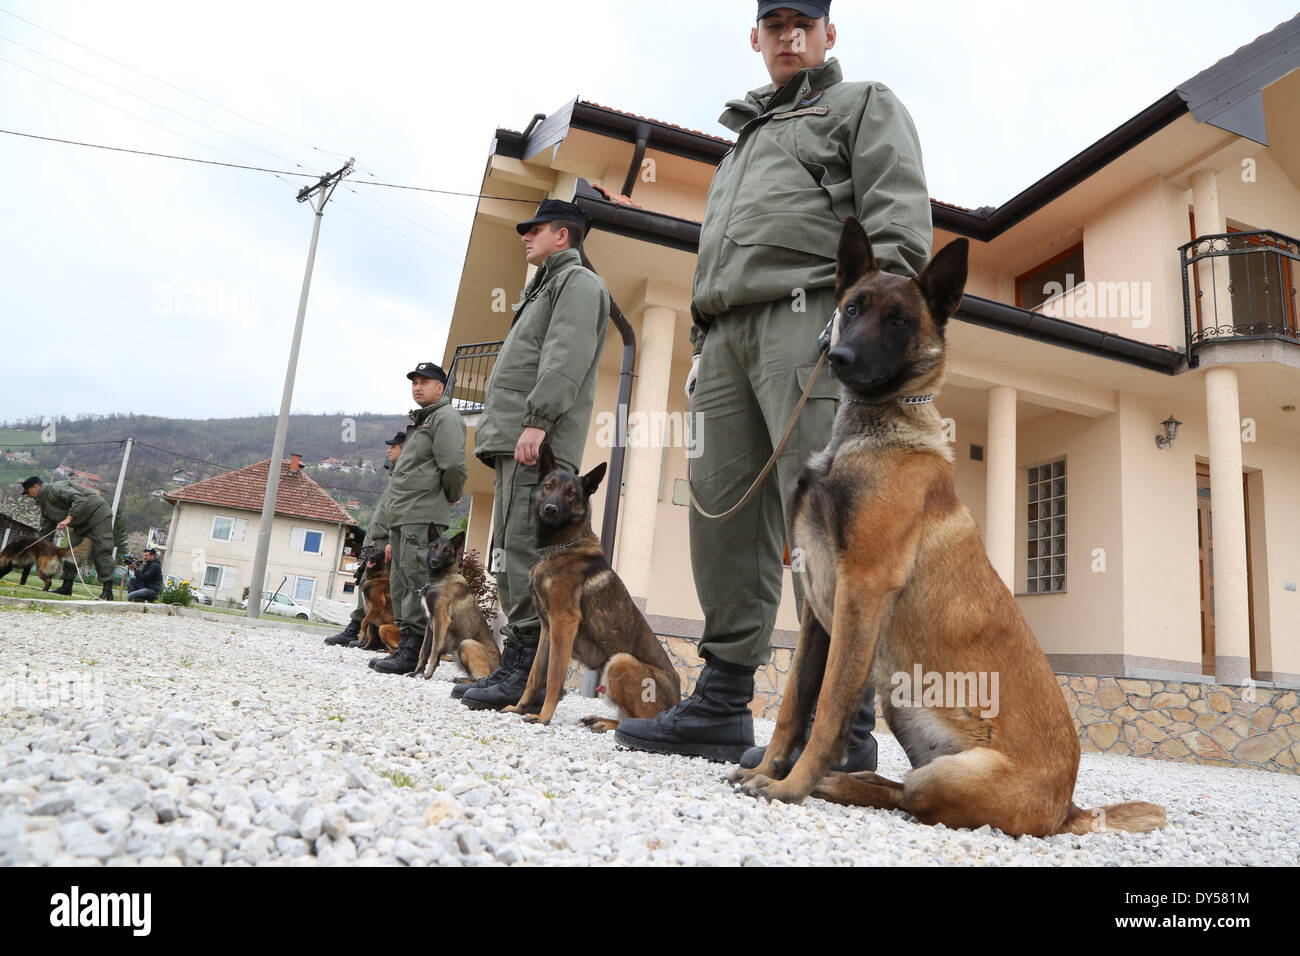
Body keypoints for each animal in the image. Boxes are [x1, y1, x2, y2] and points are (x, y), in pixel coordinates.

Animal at [410, 530, 501, 681]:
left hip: (466, 644)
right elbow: (423, 650)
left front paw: (428, 674)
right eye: (434, 546)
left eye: (447, 550)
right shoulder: (430, 624)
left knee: (481, 678)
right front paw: (416, 672)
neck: (440, 578)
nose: (434, 562)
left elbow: (434, 651)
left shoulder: (441, 621)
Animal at [501, 447, 681, 733]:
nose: (550, 509)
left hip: (620, 661)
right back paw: (600, 719)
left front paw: (544, 717)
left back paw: (610, 725)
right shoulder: (547, 630)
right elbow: (535, 675)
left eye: (571, 493)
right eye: (549, 486)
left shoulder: (564, 623)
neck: (560, 546)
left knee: (640, 721)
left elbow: (553, 677)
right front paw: (520, 708)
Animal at [733, 217, 1170, 837]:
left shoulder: (861, 591)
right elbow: (794, 703)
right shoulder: (818, 609)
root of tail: (1068, 809)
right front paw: (768, 769)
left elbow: (829, 708)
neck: (872, 431)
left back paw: (833, 782)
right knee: (893, 784)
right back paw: (843, 780)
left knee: (909, 796)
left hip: (943, 772)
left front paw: (789, 786)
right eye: (851, 308)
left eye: (899, 320)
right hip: (902, 708)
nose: (838, 356)